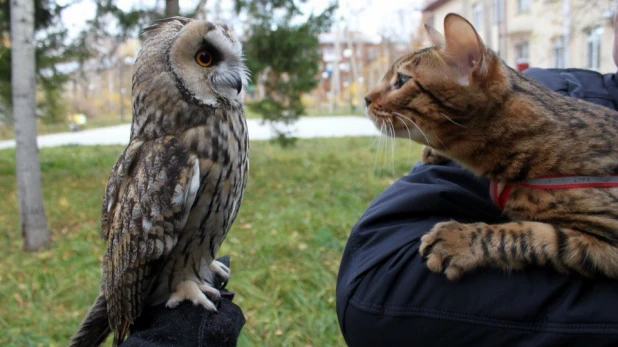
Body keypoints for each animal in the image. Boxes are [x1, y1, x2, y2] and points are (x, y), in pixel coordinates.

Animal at [364, 12, 616, 282]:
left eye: (401, 80)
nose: (366, 98)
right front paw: (433, 153)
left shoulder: (608, 237)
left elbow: (532, 235)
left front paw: (459, 241)